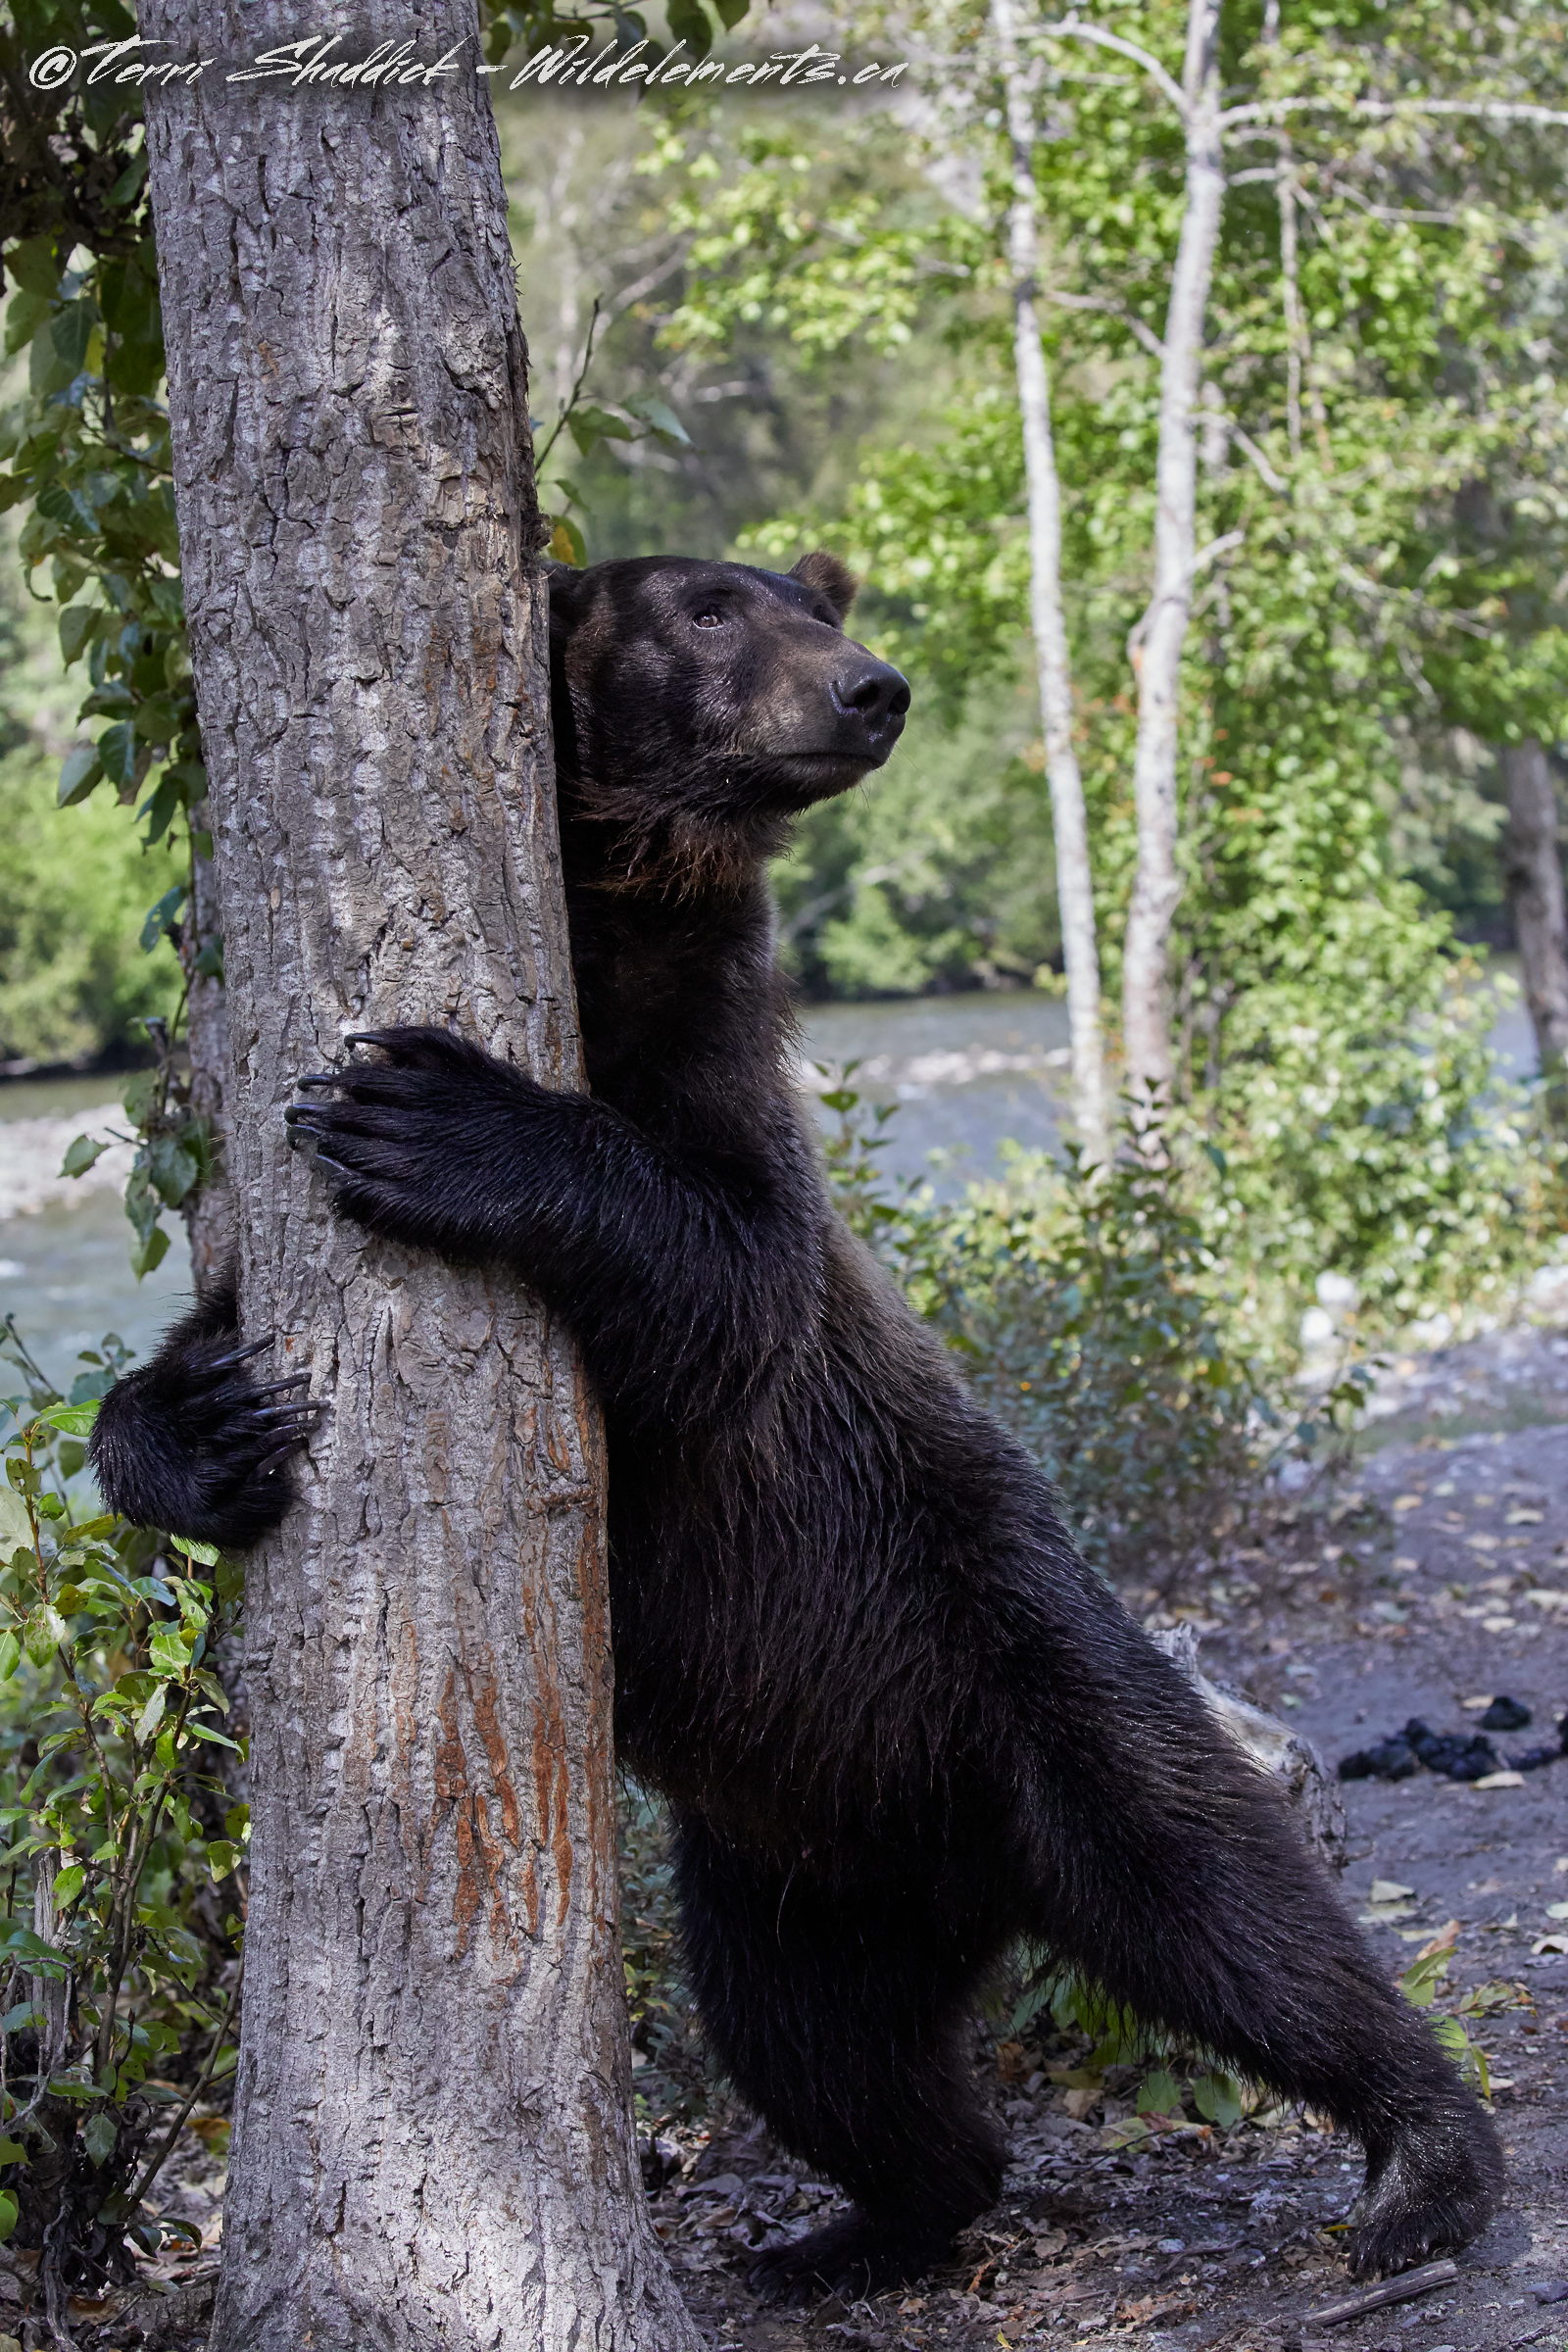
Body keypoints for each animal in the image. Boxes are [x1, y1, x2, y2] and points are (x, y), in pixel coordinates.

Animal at [92, 545, 1504, 2295]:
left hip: (1016, 1643)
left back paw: (1423, 2159)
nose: (869, 687)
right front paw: (208, 1423)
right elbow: (205, 1335)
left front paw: (430, 1106)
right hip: (786, 1859)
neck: (609, 911)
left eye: (809, 600)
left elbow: (728, 1278)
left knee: (1223, 1899)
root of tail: (962, 1861)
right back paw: (859, 2227)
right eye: (708, 607)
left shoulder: (718, 1073)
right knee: (821, 2048)